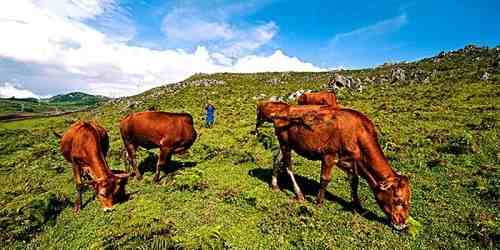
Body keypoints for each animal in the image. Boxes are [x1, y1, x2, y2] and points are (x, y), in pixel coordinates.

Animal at [256, 101, 412, 229]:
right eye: (399, 200)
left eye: (408, 201)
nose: (403, 224)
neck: (357, 134)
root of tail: (284, 107)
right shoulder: (329, 156)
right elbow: (325, 179)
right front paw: (319, 203)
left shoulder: (348, 161)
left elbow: (354, 181)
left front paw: (357, 205)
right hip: (285, 143)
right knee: (288, 166)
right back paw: (299, 194)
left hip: (286, 144)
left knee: (276, 160)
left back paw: (274, 184)